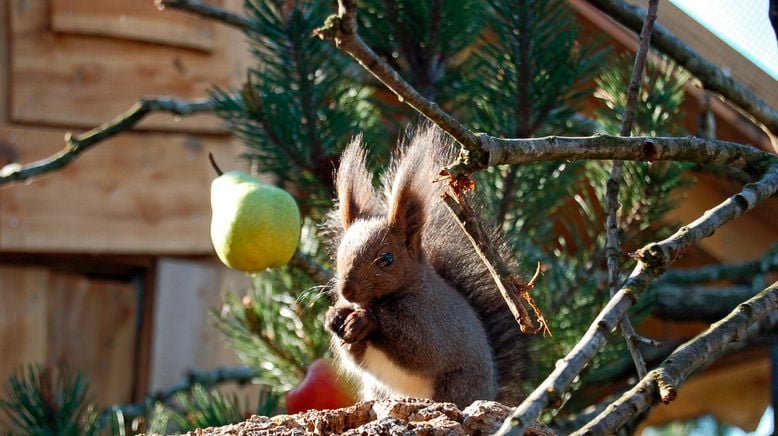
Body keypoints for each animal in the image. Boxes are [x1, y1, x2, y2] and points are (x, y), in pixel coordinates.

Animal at [322, 125, 528, 408]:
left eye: (387, 259)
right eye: (339, 254)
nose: (347, 291)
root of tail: (489, 392)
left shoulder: (433, 322)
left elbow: (420, 347)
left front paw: (364, 320)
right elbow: (355, 355)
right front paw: (334, 316)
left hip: (455, 387)